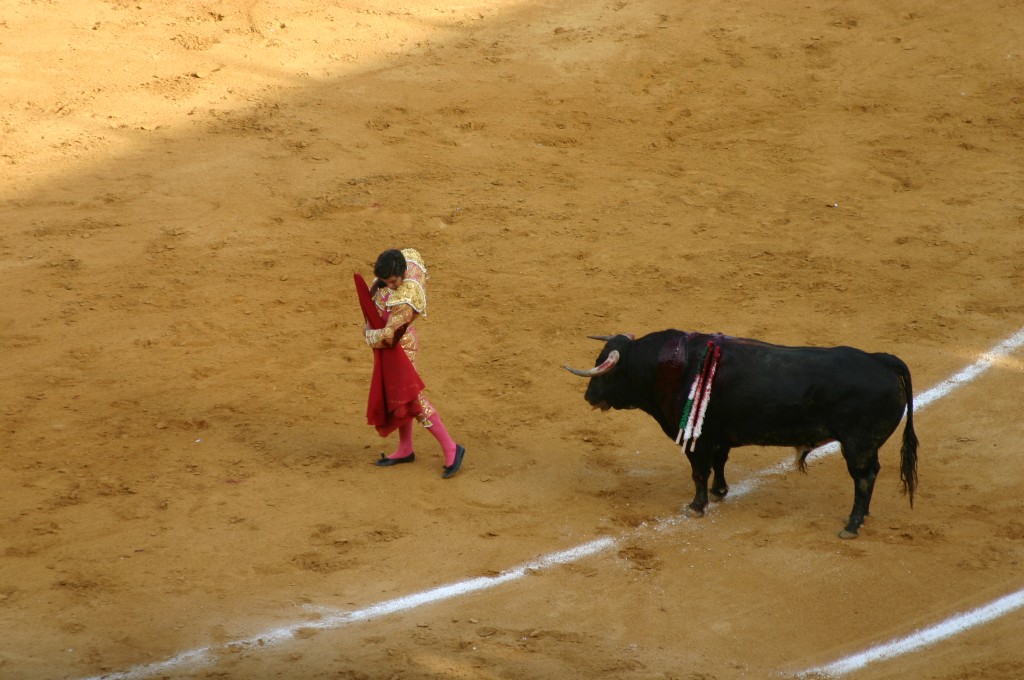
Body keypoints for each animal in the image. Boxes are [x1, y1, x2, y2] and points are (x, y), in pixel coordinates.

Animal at [561, 331, 921, 540]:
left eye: (604, 368)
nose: (589, 397)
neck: (670, 367)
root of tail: (883, 361)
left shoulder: (698, 440)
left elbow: (699, 472)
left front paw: (696, 506)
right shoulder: (719, 435)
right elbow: (719, 464)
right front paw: (720, 491)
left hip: (858, 445)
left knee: (864, 477)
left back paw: (851, 525)